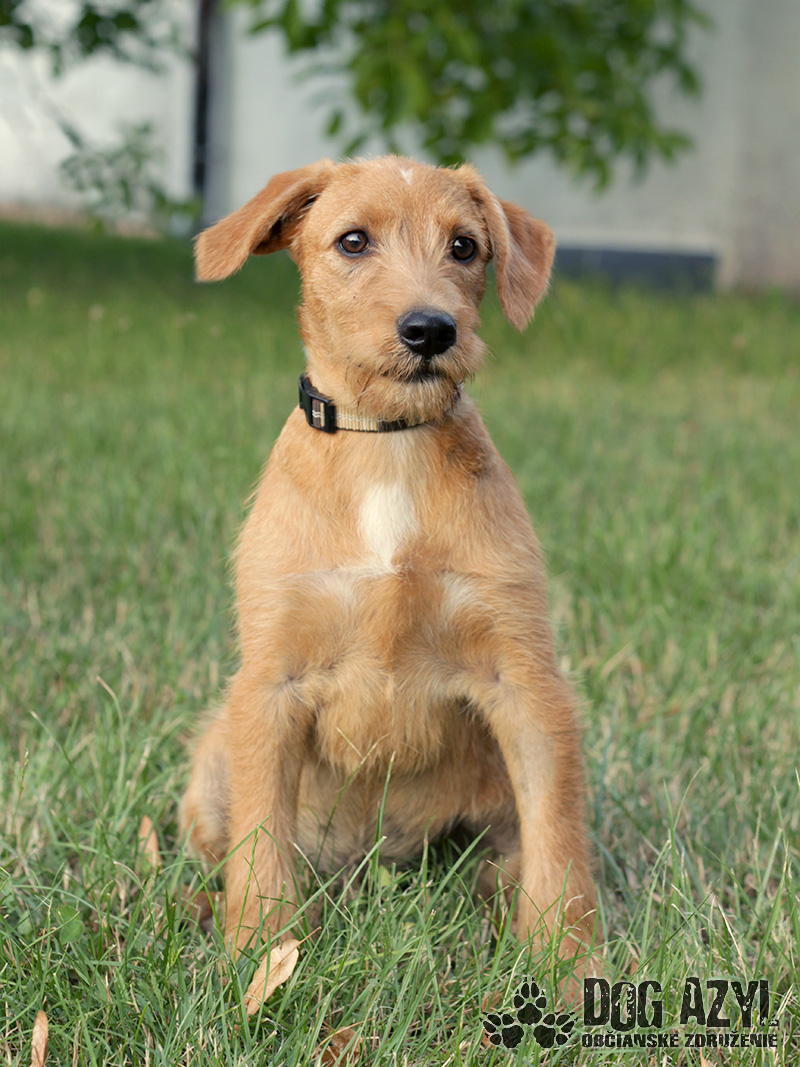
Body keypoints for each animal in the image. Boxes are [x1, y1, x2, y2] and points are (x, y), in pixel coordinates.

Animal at [181, 156, 598, 973]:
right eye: (353, 240)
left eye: (465, 246)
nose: (431, 328)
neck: (388, 444)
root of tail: (367, 859)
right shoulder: (271, 683)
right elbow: (259, 846)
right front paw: (263, 956)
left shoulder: (526, 684)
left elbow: (559, 847)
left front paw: (569, 969)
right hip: (214, 754)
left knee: (511, 854)